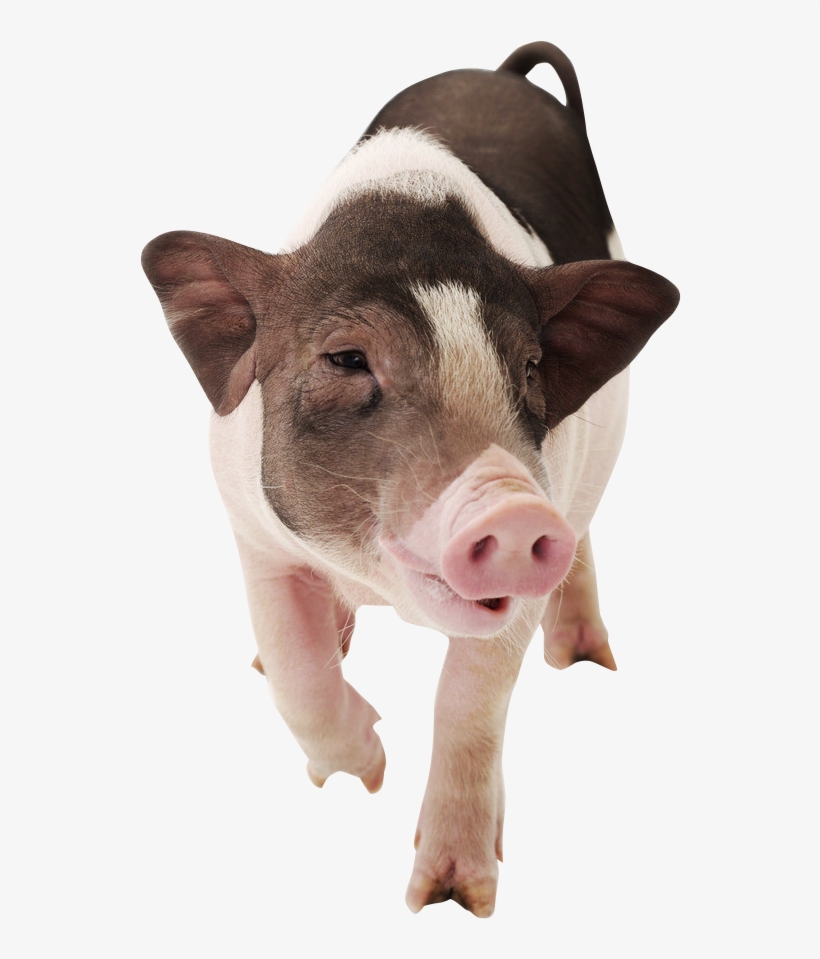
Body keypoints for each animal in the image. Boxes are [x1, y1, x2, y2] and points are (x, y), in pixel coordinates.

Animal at [142, 41, 679, 917]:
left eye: (530, 368)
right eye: (346, 358)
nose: (514, 506)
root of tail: (501, 73)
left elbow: (469, 698)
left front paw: (452, 897)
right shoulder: (252, 530)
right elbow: (293, 667)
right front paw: (364, 772)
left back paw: (587, 660)